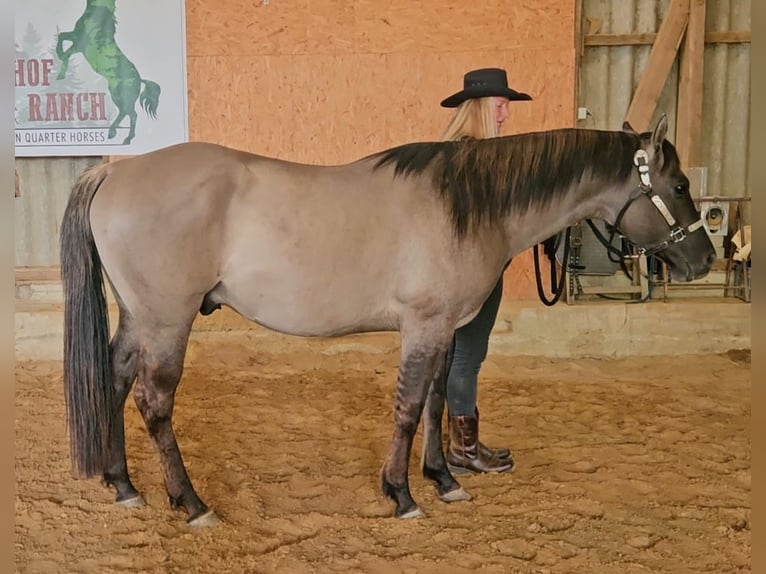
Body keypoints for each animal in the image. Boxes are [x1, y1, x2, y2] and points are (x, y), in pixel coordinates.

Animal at [55, 0, 161, 145]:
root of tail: (140, 80)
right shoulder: (75, 37)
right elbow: (62, 36)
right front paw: (60, 71)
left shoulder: (79, 43)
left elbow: (65, 49)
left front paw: (60, 61)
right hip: (117, 95)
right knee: (124, 113)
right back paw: (113, 133)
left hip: (120, 96)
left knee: (132, 114)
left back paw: (126, 138)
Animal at [59, 115, 716, 526]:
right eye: (681, 184)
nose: (705, 259)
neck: (465, 205)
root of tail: (114, 171)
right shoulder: (422, 326)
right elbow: (407, 406)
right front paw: (401, 493)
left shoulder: (445, 329)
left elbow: (435, 401)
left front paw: (444, 480)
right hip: (167, 322)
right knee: (153, 402)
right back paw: (191, 503)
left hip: (138, 318)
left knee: (113, 383)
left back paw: (123, 486)